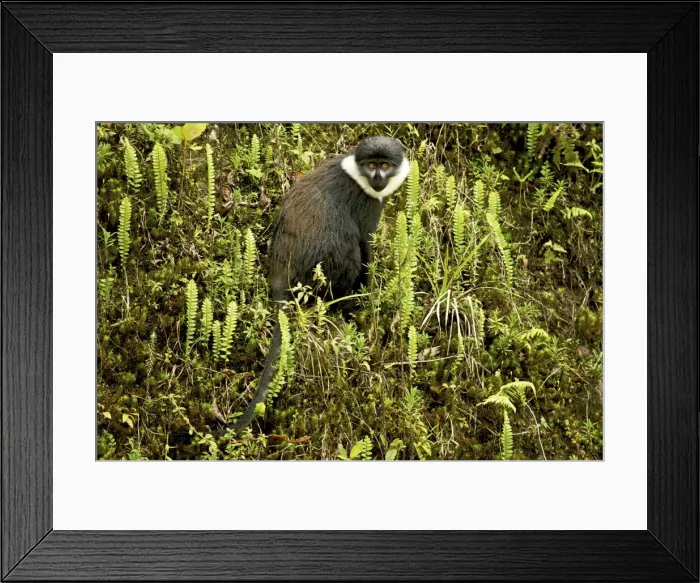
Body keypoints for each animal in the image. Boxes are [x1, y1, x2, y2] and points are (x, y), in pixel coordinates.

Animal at [219, 136, 409, 434]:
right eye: (371, 165)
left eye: (384, 165)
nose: (378, 177)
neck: (356, 174)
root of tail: (281, 278)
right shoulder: (368, 205)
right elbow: (365, 245)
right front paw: (368, 300)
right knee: (348, 246)